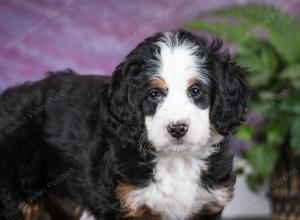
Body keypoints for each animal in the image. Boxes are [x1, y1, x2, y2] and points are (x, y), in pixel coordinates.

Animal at [0, 29, 250, 220]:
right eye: (154, 94)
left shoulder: (207, 205)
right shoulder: (126, 205)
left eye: (196, 91)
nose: (177, 128)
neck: (176, 161)